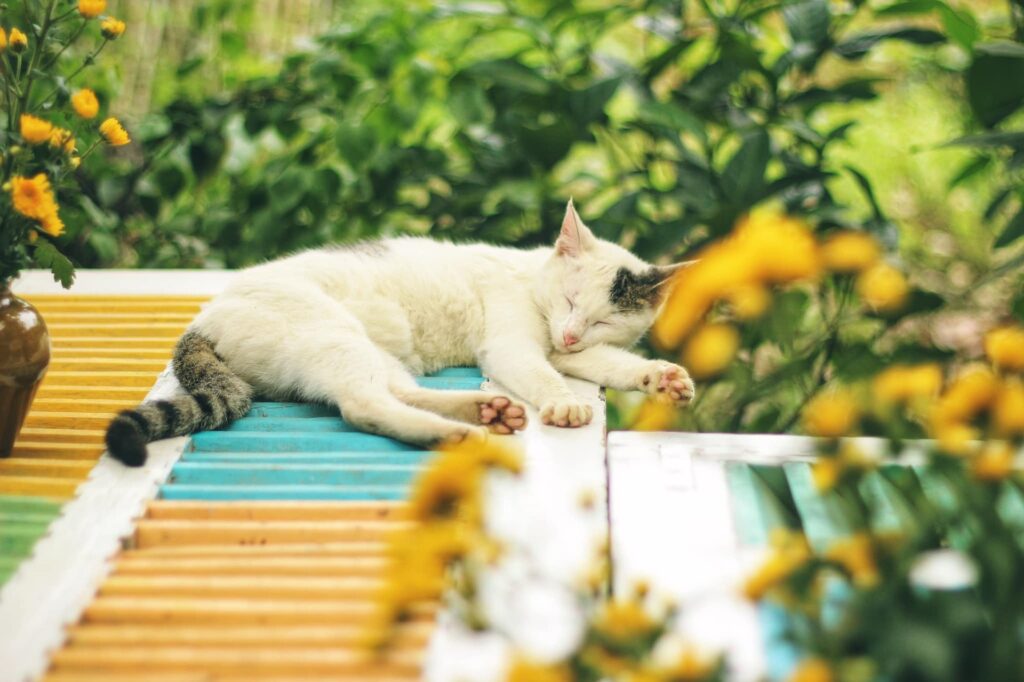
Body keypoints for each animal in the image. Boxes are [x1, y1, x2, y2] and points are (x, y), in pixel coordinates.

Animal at [105, 199, 696, 464]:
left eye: (603, 319)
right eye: (571, 300)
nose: (572, 333)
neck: (533, 283)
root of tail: (203, 320)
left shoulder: (574, 352)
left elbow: (612, 364)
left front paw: (662, 378)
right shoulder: (513, 345)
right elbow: (542, 373)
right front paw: (565, 403)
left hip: (368, 352)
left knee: (396, 391)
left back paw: (482, 412)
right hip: (335, 336)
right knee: (362, 405)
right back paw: (455, 433)